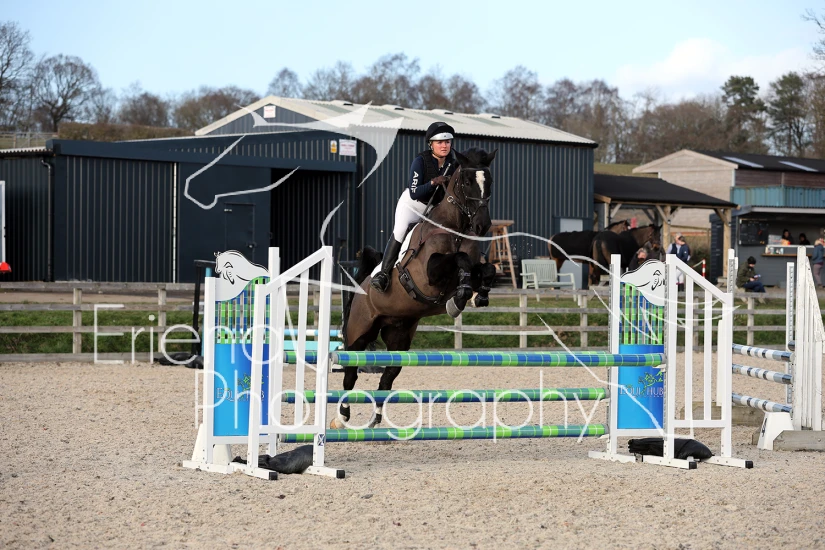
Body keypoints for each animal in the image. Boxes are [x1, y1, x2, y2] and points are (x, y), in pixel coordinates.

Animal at [333, 147, 499, 429]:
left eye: (490, 182)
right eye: (467, 181)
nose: (482, 226)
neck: (455, 230)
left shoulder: (472, 267)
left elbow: (486, 270)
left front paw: (475, 295)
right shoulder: (429, 275)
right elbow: (459, 260)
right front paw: (459, 299)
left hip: (399, 336)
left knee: (387, 376)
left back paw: (376, 418)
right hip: (359, 333)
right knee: (350, 373)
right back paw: (342, 416)